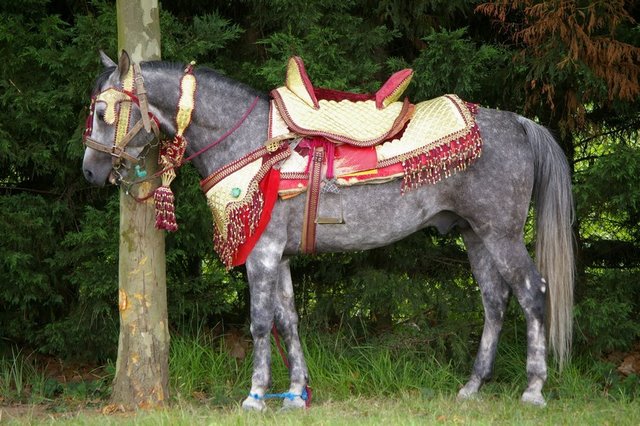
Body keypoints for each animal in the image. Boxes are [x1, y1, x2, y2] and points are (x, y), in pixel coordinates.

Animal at [81, 51, 576, 412]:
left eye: (103, 112)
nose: (90, 171)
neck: (253, 142)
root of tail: (518, 123)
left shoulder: (261, 254)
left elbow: (260, 323)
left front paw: (255, 396)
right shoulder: (279, 256)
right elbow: (288, 321)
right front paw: (295, 394)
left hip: (501, 234)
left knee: (533, 293)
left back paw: (533, 390)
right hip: (475, 235)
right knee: (495, 302)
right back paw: (472, 386)